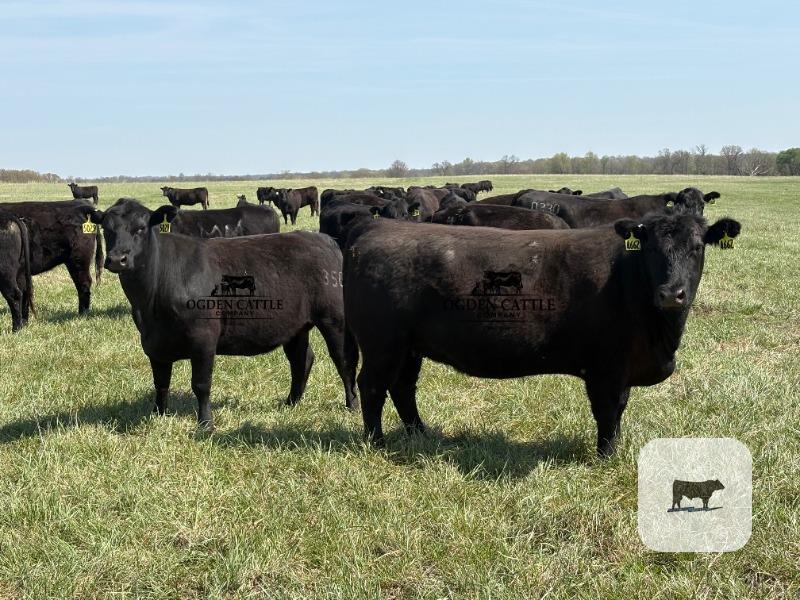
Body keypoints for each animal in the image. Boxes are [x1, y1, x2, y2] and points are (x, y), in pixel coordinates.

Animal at [88, 198, 358, 428]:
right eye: (107, 229)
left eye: (141, 228)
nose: (117, 259)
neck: (150, 301)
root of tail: (324, 240)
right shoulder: (153, 342)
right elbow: (161, 382)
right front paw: (158, 415)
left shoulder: (204, 338)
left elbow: (201, 384)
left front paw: (205, 424)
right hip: (295, 325)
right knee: (301, 359)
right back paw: (291, 402)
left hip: (335, 319)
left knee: (343, 360)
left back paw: (352, 404)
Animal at [343, 211, 741, 457]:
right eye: (651, 249)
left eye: (697, 247)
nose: (671, 293)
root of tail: (376, 226)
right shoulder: (607, 369)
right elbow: (608, 412)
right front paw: (606, 456)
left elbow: (617, 412)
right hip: (382, 344)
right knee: (373, 387)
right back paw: (376, 443)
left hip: (409, 347)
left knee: (403, 388)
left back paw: (421, 435)